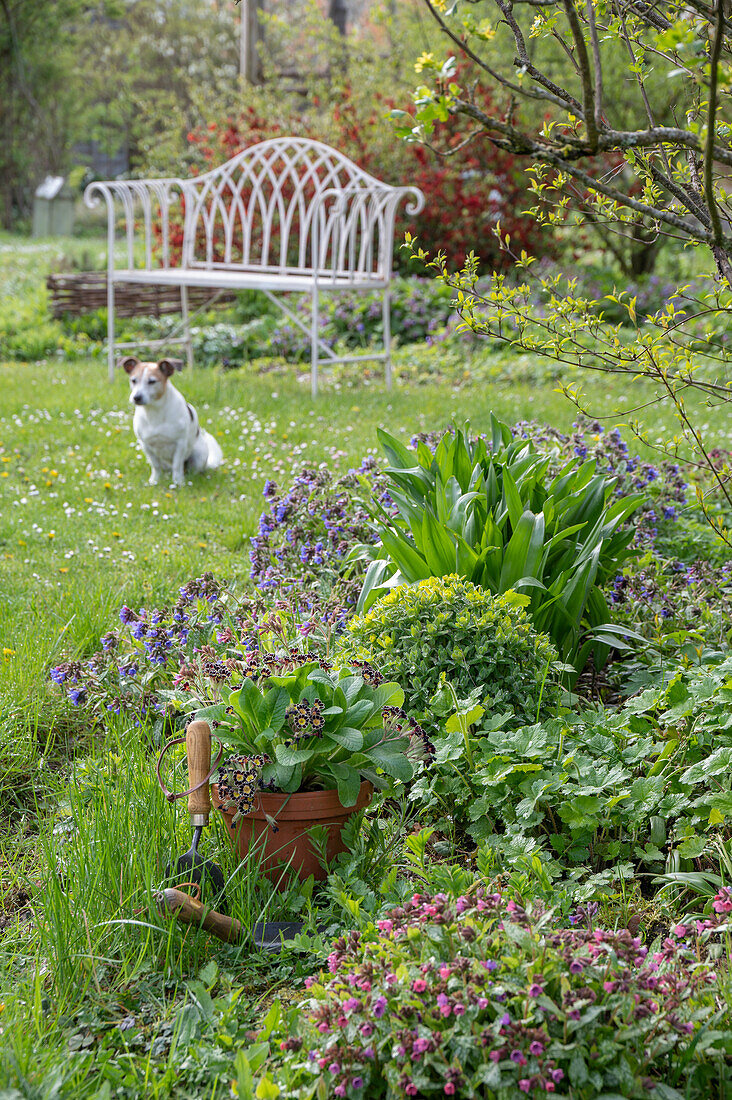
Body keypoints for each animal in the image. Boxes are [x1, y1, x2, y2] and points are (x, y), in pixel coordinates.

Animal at [119, 356, 224, 486]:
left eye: (152, 381)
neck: (154, 411)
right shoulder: (146, 446)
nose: (136, 397)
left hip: (198, 455)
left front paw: (178, 482)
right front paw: (155, 480)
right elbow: (156, 466)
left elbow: (177, 466)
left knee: (191, 470)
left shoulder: (180, 444)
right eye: (133, 380)